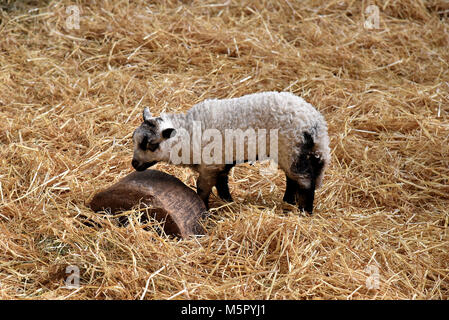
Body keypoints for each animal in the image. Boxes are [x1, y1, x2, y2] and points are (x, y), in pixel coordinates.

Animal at [130, 91, 328, 214]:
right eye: (134, 139)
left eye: (151, 145)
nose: (134, 164)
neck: (189, 134)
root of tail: (316, 124)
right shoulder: (220, 163)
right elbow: (222, 184)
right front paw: (228, 202)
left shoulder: (209, 166)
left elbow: (202, 189)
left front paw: (204, 208)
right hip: (289, 153)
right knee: (291, 178)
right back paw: (288, 202)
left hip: (292, 150)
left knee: (304, 181)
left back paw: (305, 211)